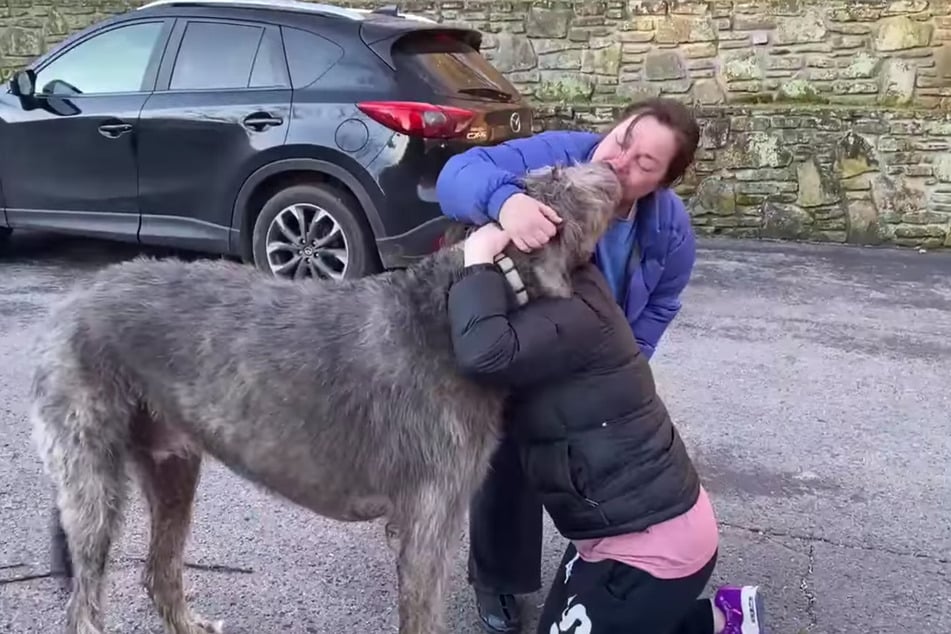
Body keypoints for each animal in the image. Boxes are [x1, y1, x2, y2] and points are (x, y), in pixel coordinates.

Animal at [29, 160, 620, 628]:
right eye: (560, 176)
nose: (612, 167)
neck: (456, 307)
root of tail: (69, 301)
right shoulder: (429, 513)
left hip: (171, 462)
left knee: (159, 572)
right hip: (91, 472)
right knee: (83, 599)